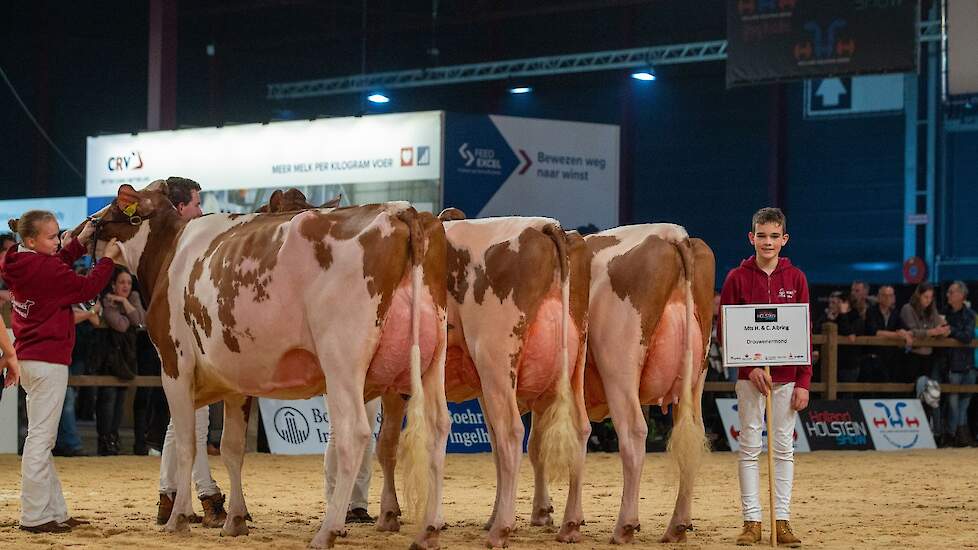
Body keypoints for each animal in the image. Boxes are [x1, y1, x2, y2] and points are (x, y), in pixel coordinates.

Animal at [89, 183, 448, 548]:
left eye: (115, 205)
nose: (86, 226)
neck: (171, 248)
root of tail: (400, 210)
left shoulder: (175, 365)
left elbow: (187, 444)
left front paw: (178, 519)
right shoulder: (235, 381)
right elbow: (232, 448)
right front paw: (234, 520)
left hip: (342, 361)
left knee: (355, 435)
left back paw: (328, 529)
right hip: (431, 361)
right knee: (436, 428)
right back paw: (429, 529)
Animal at [580, 225, 708, 548]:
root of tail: (671, 233)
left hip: (618, 369)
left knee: (633, 433)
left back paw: (624, 526)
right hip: (695, 378)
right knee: (693, 435)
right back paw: (678, 525)